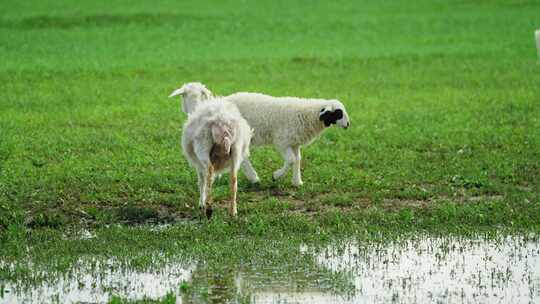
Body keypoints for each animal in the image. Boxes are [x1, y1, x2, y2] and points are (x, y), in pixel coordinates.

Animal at [171, 82, 352, 185]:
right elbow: (291, 160)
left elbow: (298, 159)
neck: (307, 115)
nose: (348, 125)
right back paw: (253, 178)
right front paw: (276, 176)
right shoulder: (282, 142)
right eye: (338, 113)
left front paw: (297, 182)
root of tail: (213, 105)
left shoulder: (294, 143)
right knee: (242, 157)